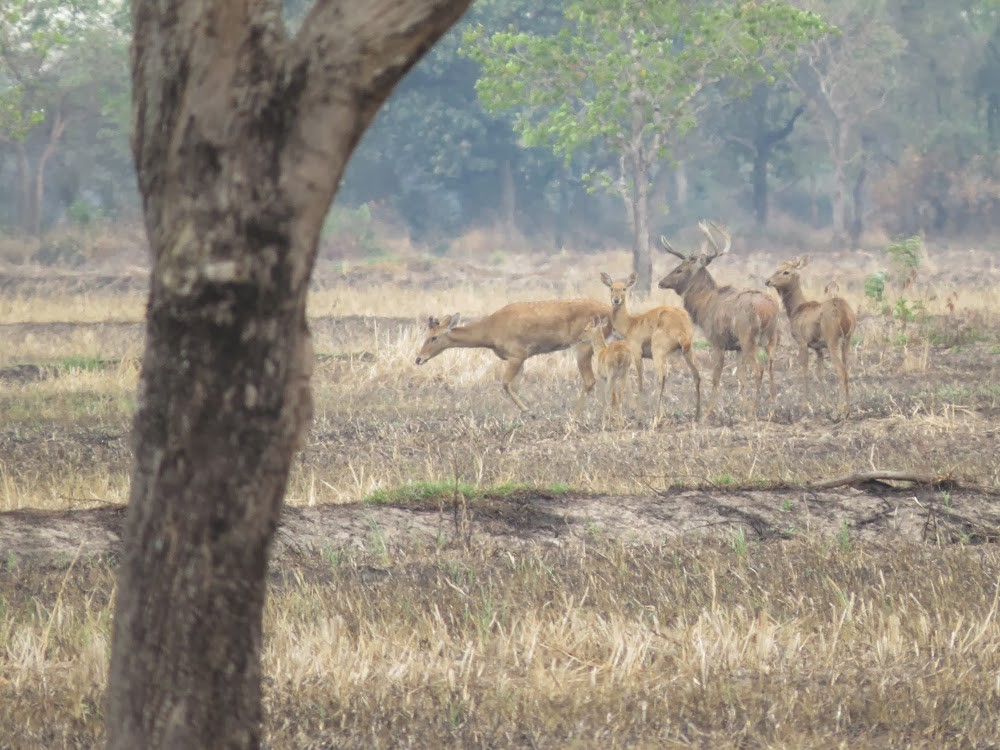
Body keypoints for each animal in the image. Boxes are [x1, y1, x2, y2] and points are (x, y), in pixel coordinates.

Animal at [415, 299, 613, 414]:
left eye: (434, 337)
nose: (419, 359)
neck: (490, 330)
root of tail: (611, 311)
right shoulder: (520, 359)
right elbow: (515, 386)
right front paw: (523, 412)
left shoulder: (517, 355)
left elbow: (505, 383)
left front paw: (528, 410)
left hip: (583, 346)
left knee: (590, 380)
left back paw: (575, 414)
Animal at [600, 272, 701, 423]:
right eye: (612, 288)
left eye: (624, 288)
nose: (616, 300)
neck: (630, 324)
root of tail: (682, 329)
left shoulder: (637, 353)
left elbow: (641, 382)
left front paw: (638, 415)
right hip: (686, 352)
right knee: (695, 375)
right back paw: (697, 415)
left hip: (658, 351)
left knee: (661, 377)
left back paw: (655, 415)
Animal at [658, 220, 779, 418]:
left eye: (679, 269)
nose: (661, 282)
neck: (703, 306)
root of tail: (767, 311)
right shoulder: (736, 347)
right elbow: (740, 377)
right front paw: (742, 408)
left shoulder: (718, 341)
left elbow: (716, 377)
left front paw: (708, 411)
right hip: (772, 338)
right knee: (770, 368)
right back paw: (772, 408)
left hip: (748, 338)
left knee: (758, 370)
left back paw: (755, 408)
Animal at [765, 256, 857, 418]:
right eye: (777, 268)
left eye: (786, 271)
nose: (768, 281)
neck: (795, 310)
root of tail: (845, 315)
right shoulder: (818, 348)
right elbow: (820, 373)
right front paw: (826, 406)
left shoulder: (802, 342)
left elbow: (805, 371)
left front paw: (806, 407)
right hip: (847, 339)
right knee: (847, 369)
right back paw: (847, 409)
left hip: (833, 340)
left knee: (841, 371)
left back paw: (839, 411)